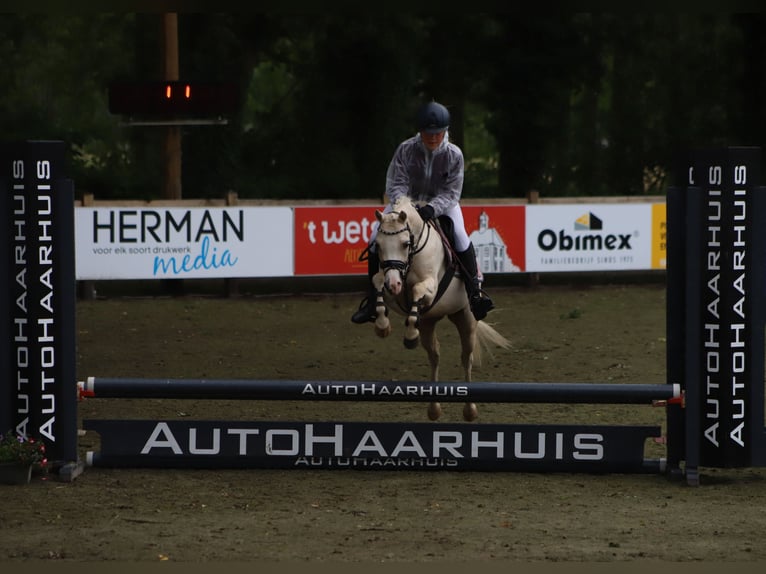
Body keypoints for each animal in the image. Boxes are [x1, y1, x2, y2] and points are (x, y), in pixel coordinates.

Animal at [370, 198, 510, 424]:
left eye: (405, 243)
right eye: (379, 245)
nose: (394, 284)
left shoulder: (430, 285)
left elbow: (418, 289)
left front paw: (404, 331)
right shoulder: (391, 285)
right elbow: (377, 281)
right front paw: (383, 325)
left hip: (466, 319)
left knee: (466, 358)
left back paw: (470, 410)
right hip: (428, 323)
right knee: (434, 357)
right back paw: (433, 408)